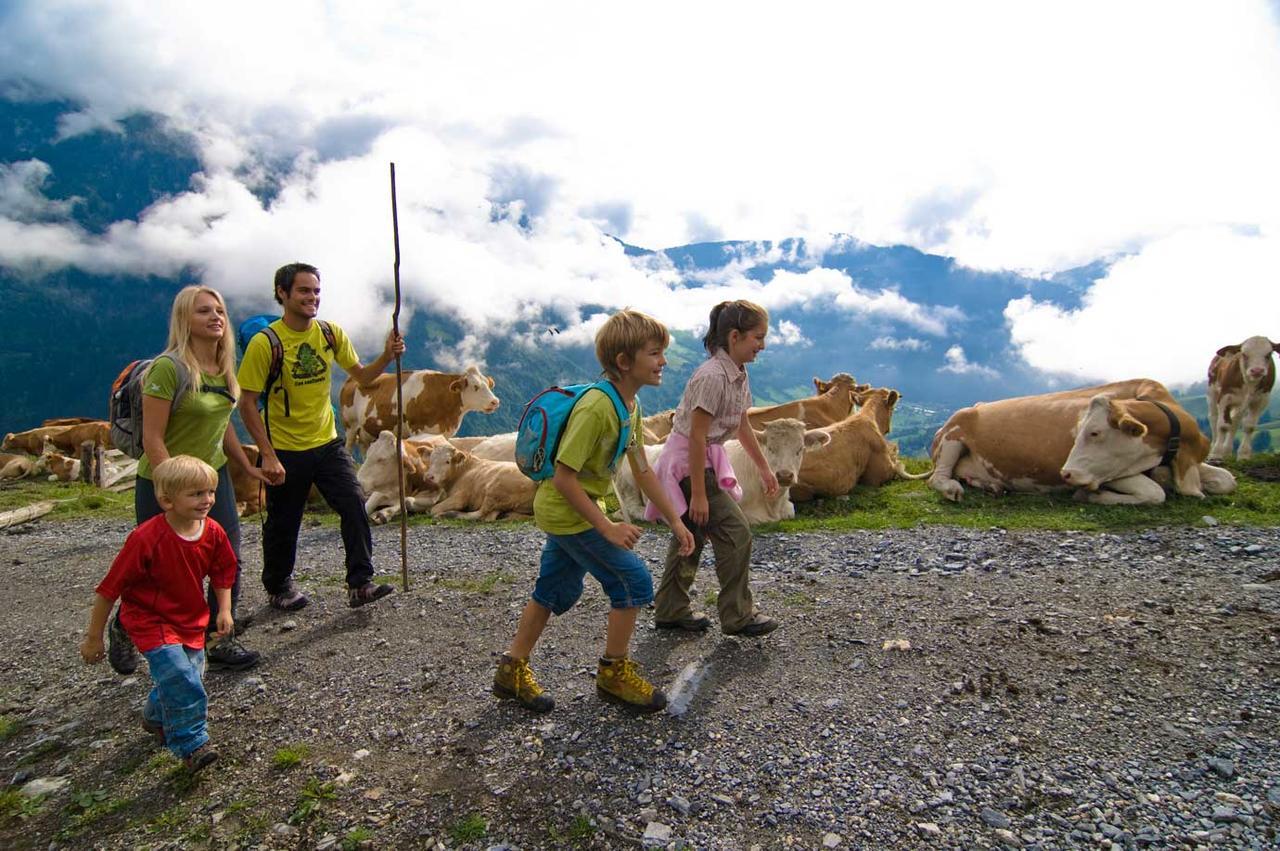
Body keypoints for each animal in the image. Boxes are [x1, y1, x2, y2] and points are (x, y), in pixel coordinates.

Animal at [340, 363, 499, 450]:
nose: (495, 401)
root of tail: (351, 379)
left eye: (488, 384)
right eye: (475, 386)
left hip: (367, 433)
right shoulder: (418, 430)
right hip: (350, 425)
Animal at [926, 378, 1233, 504]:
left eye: (1095, 432)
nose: (1066, 473)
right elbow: (1153, 492)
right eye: (1080, 428)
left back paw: (991, 485)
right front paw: (1090, 495)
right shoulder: (1110, 472)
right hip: (956, 429)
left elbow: (1227, 480)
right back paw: (952, 488)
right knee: (939, 476)